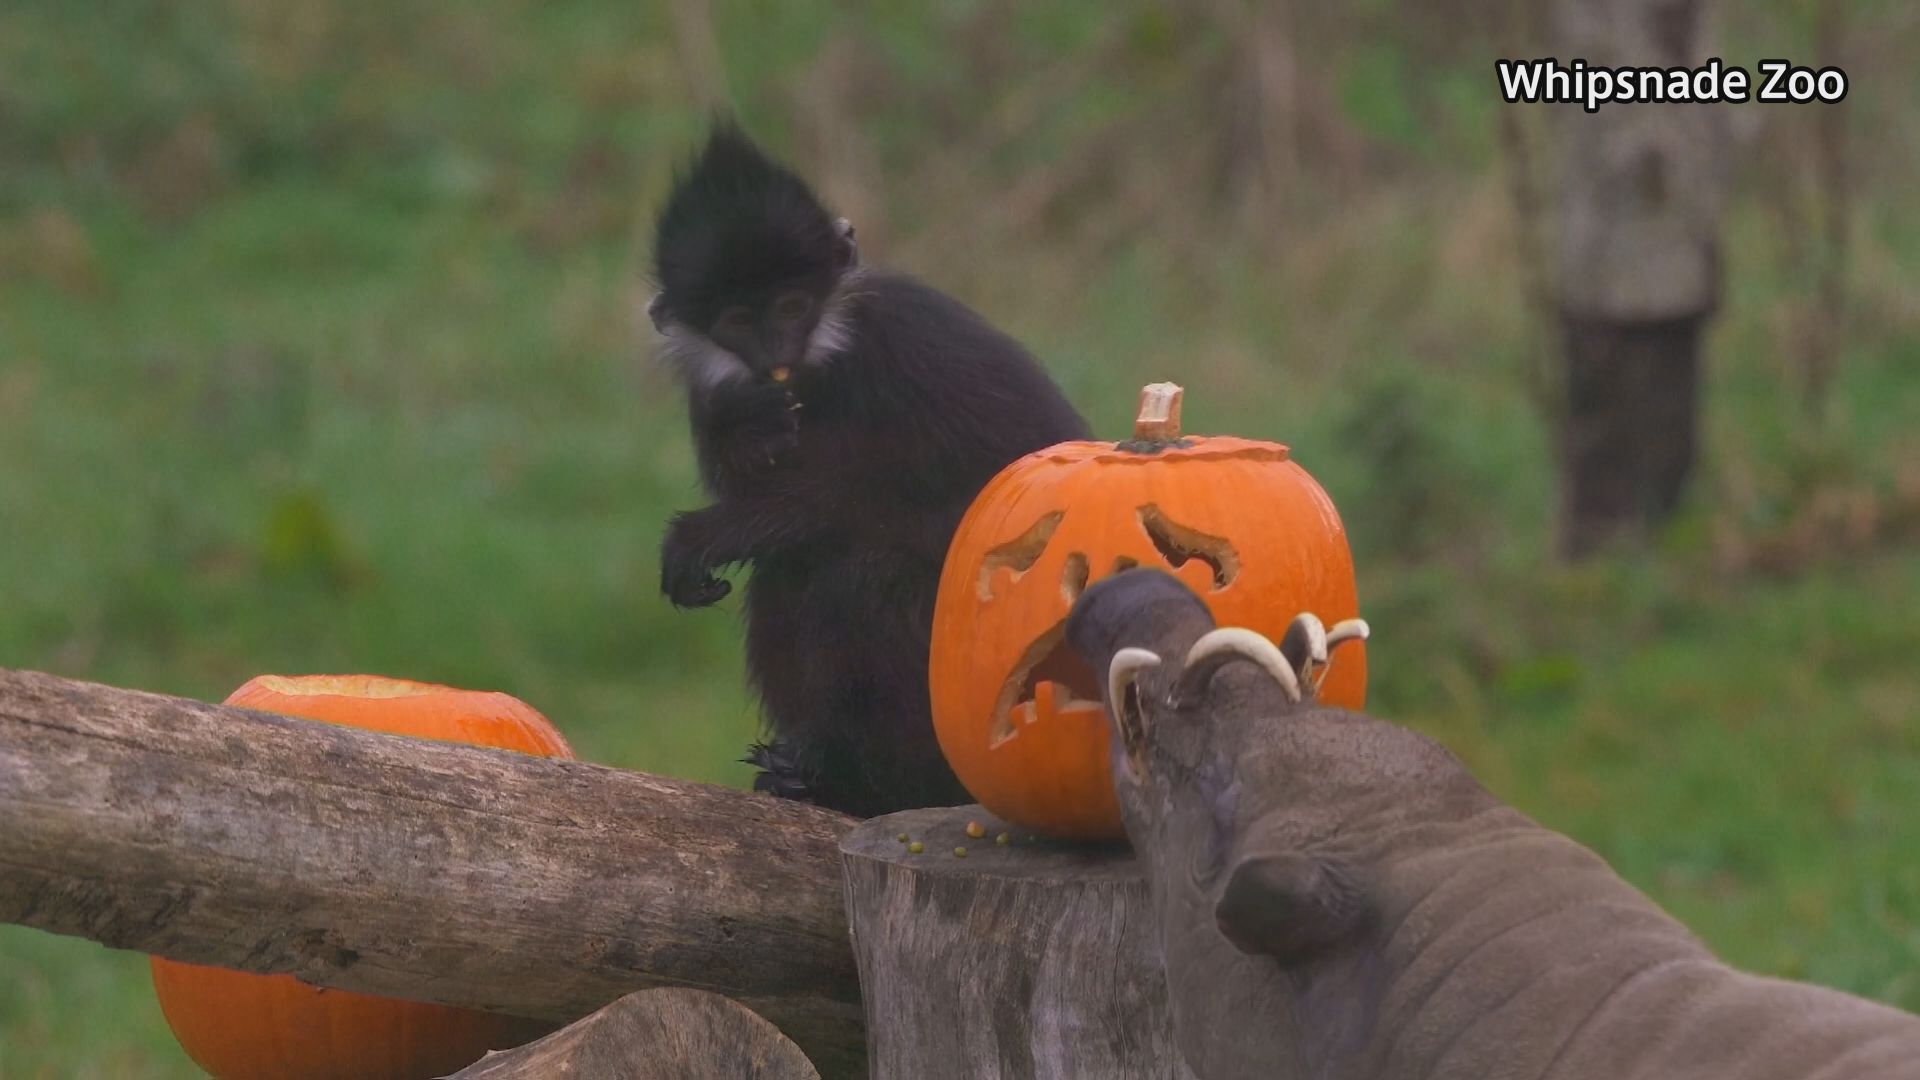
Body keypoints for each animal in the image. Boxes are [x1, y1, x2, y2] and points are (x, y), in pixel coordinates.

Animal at [648, 123, 1090, 814]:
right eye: (740, 320)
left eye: (793, 305)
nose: (777, 352)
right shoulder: (713, 385)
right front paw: (746, 426)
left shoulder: (908, 332)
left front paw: (704, 533)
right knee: (792, 572)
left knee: (862, 577)